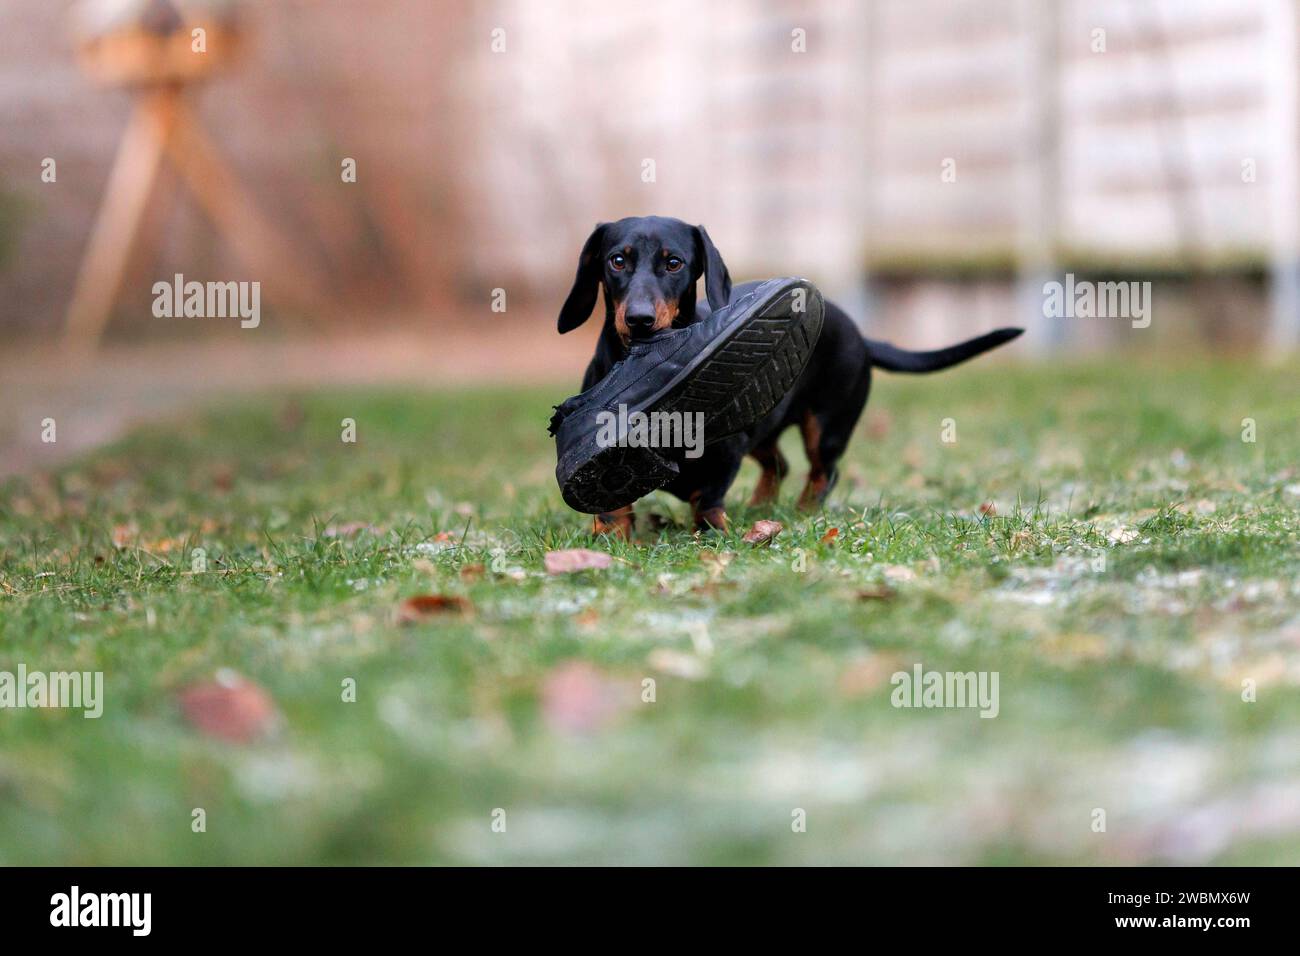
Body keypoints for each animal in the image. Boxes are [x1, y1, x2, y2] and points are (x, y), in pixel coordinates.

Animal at [553, 213, 1019, 535]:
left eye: (673, 263)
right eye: (617, 261)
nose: (639, 320)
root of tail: (860, 333)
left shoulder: (726, 455)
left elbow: (708, 499)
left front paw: (714, 536)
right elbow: (612, 504)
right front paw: (613, 537)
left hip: (825, 427)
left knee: (822, 472)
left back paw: (802, 515)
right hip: (765, 424)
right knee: (779, 464)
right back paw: (762, 508)